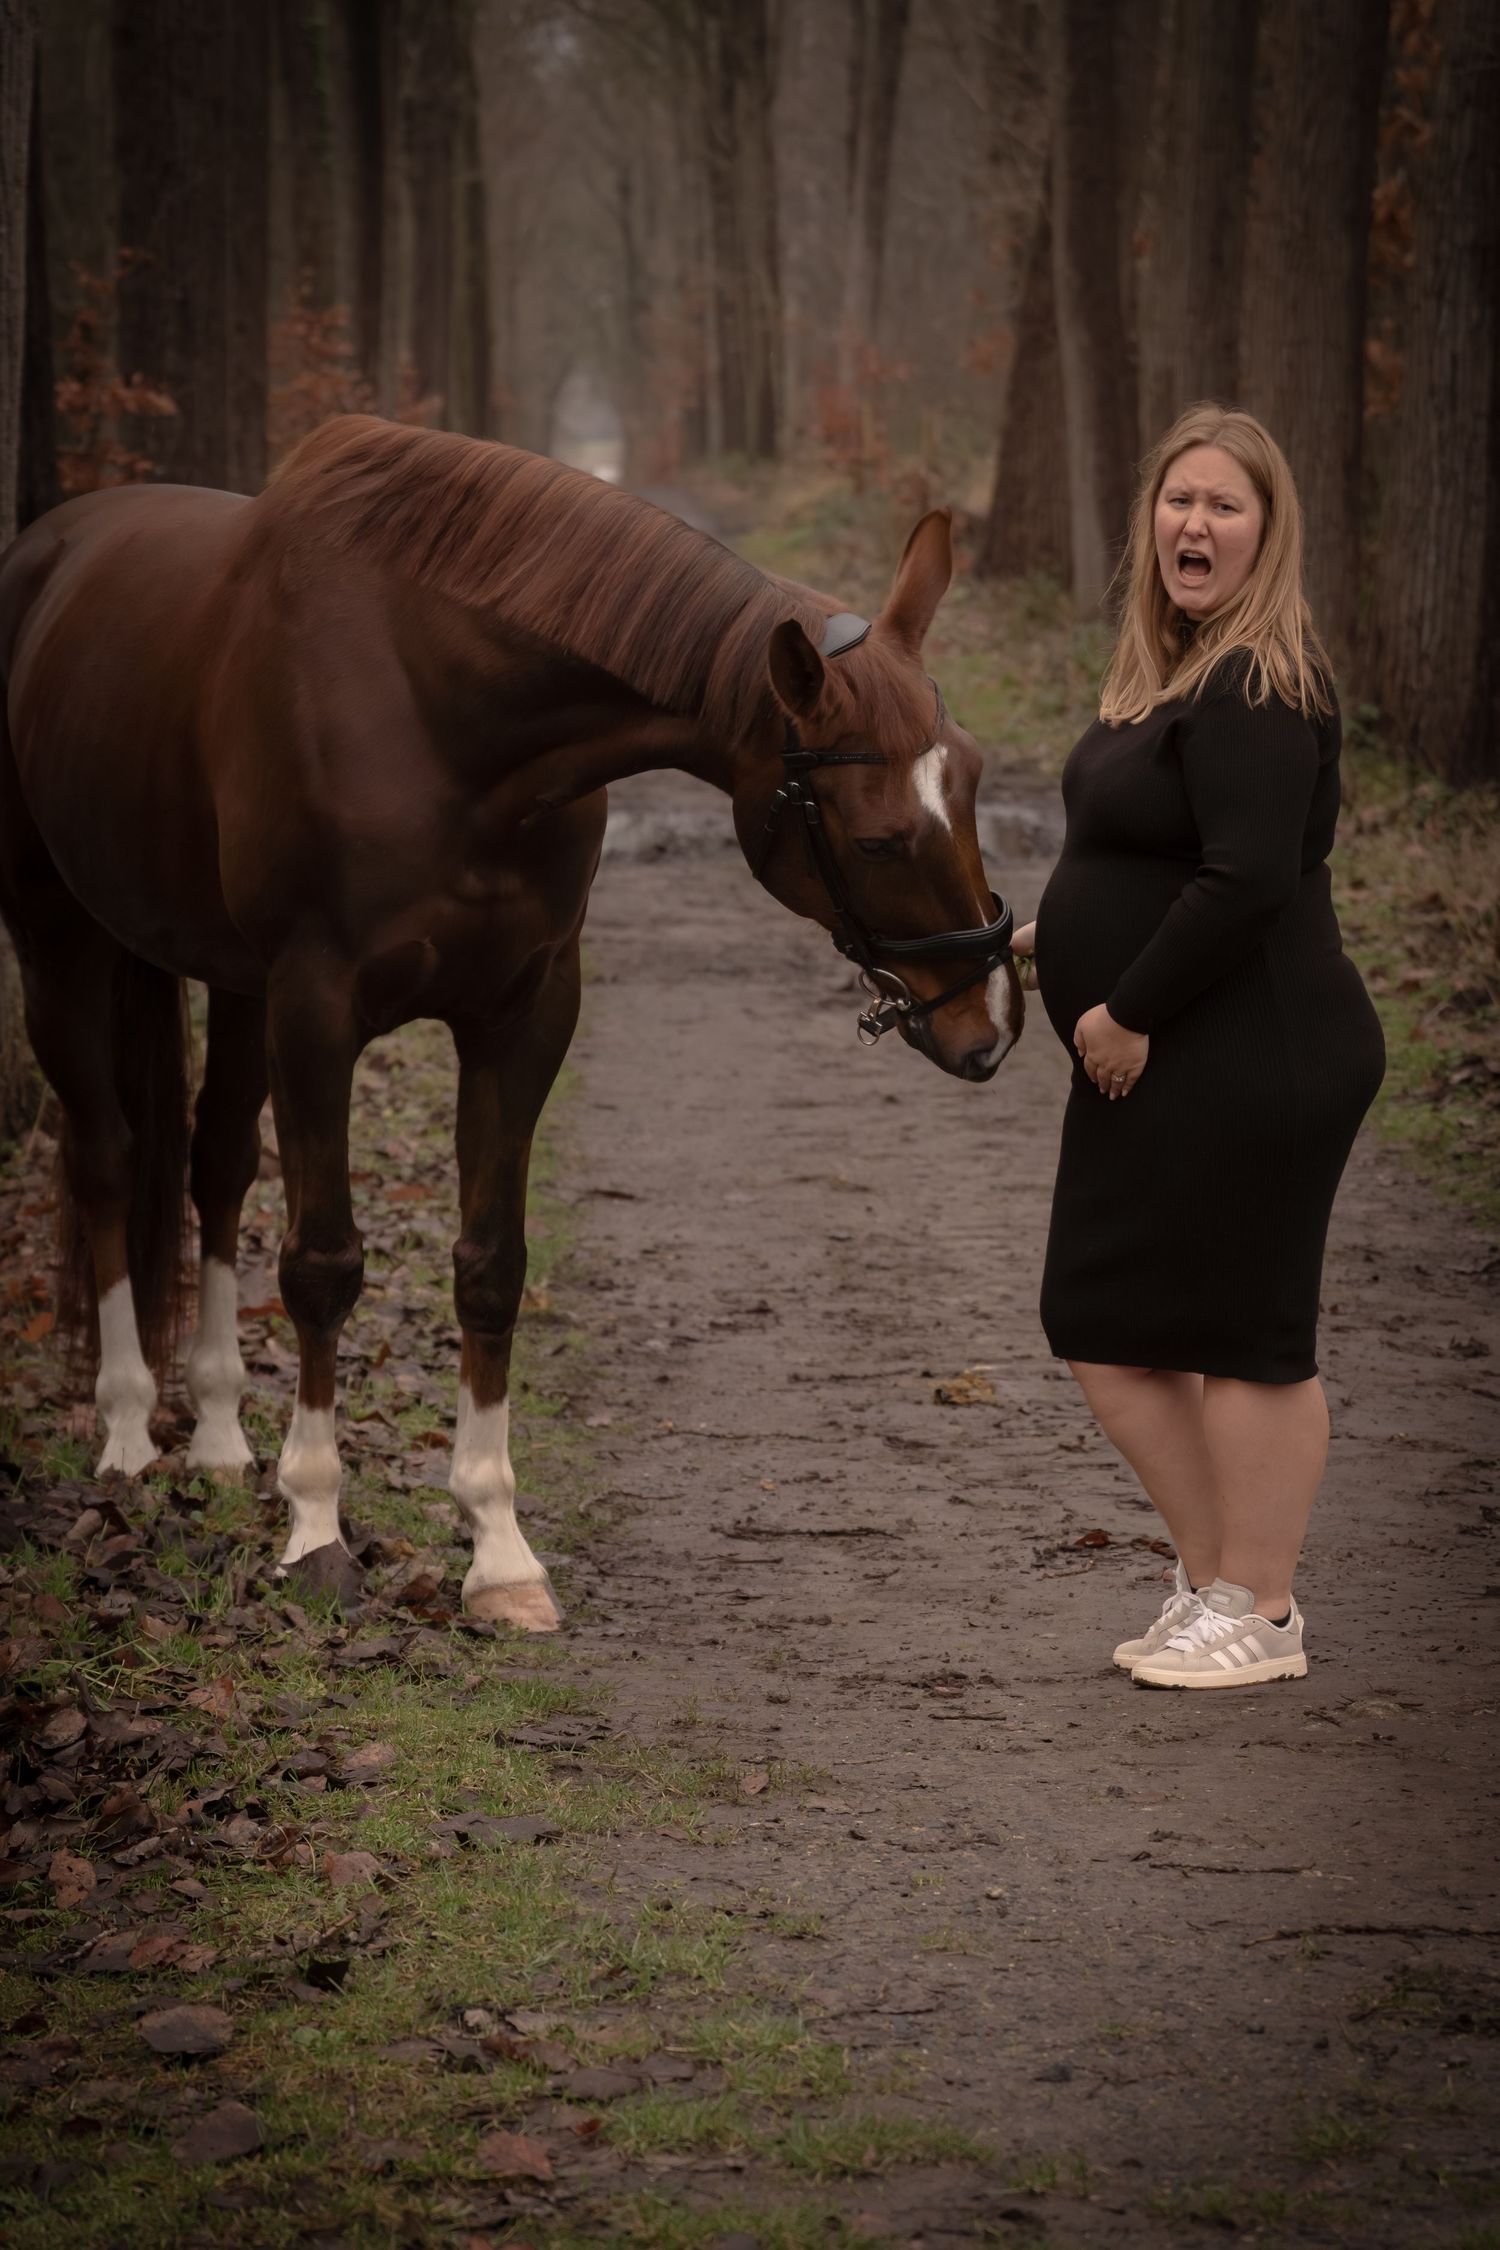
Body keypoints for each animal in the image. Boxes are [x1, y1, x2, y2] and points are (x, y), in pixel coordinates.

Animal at [0, 414, 1023, 1631]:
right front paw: (316, 1529)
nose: (988, 1024)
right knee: (107, 1159)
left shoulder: (524, 1011)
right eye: (874, 839)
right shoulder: (316, 1009)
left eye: (974, 780)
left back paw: (211, 1432)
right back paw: (124, 1430)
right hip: (60, 934)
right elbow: (322, 1264)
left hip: (229, 979)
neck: (441, 720)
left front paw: (497, 1552)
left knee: (214, 1167)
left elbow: (492, 1263)